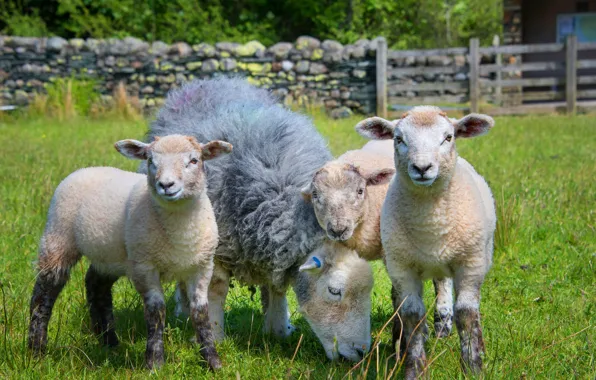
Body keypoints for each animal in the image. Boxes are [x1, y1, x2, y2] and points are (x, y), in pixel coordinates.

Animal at [29, 134, 232, 372]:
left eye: (193, 160)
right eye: (151, 160)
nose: (166, 185)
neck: (179, 230)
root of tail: (87, 168)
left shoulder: (201, 267)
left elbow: (200, 312)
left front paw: (213, 361)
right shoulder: (144, 266)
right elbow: (156, 311)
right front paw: (155, 363)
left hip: (110, 256)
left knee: (96, 285)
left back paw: (109, 342)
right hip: (58, 237)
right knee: (44, 292)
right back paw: (36, 350)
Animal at [144, 78, 372, 362]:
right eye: (334, 291)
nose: (361, 352)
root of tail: (207, 81)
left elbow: (276, 288)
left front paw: (277, 329)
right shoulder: (219, 246)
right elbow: (216, 288)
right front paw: (215, 335)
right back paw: (184, 311)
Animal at [302, 141, 456, 336]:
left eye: (360, 191)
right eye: (315, 195)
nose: (338, 229)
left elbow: (399, 292)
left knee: (442, 278)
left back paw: (443, 324)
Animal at [356, 106, 496, 378]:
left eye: (448, 137)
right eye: (398, 139)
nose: (422, 168)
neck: (431, 225)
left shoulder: (471, 264)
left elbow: (467, 314)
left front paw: (473, 366)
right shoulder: (402, 268)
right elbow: (412, 314)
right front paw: (414, 367)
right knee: (439, 282)